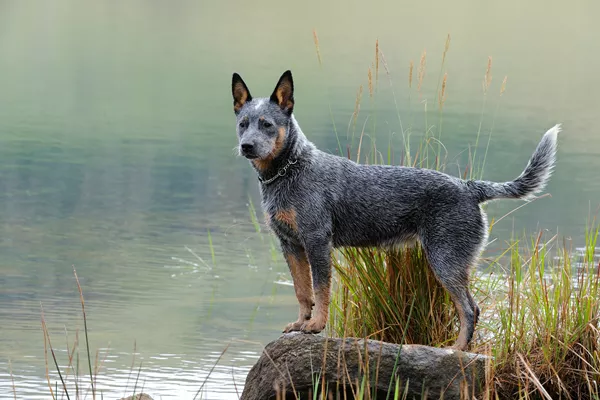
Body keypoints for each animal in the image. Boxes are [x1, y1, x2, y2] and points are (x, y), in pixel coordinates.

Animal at [232, 69, 560, 350]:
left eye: (267, 124)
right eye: (242, 123)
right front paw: (301, 324)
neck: (290, 170)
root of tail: (469, 187)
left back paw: (456, 350)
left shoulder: (317, 242)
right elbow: (302, 291)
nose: (246, 146)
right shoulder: (290, 245)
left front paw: (315, 326)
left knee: (469, 309)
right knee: (472, 308)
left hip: (445, 261)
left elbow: (321, 290)